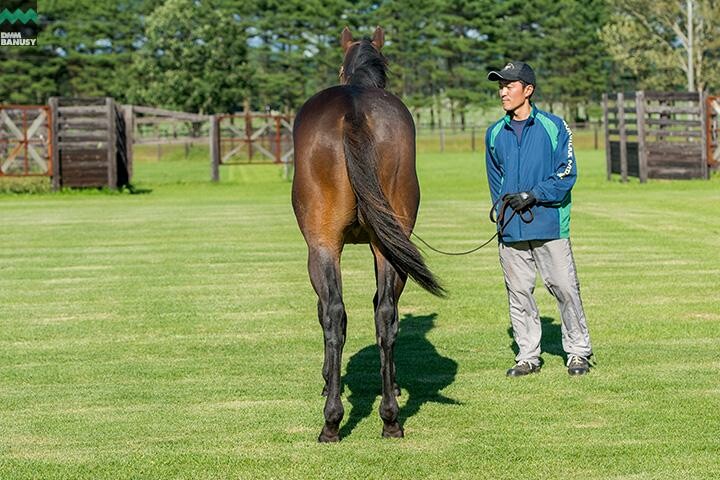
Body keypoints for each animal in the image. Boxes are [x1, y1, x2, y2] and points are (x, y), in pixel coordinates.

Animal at [291, 26, 444, 442]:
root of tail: (354, 110)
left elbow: (325, 312)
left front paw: (328, 380)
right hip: (387, 245)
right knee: (385, 316)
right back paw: (391, 419)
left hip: (323, 246)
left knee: (333, 315)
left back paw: (331, 421)